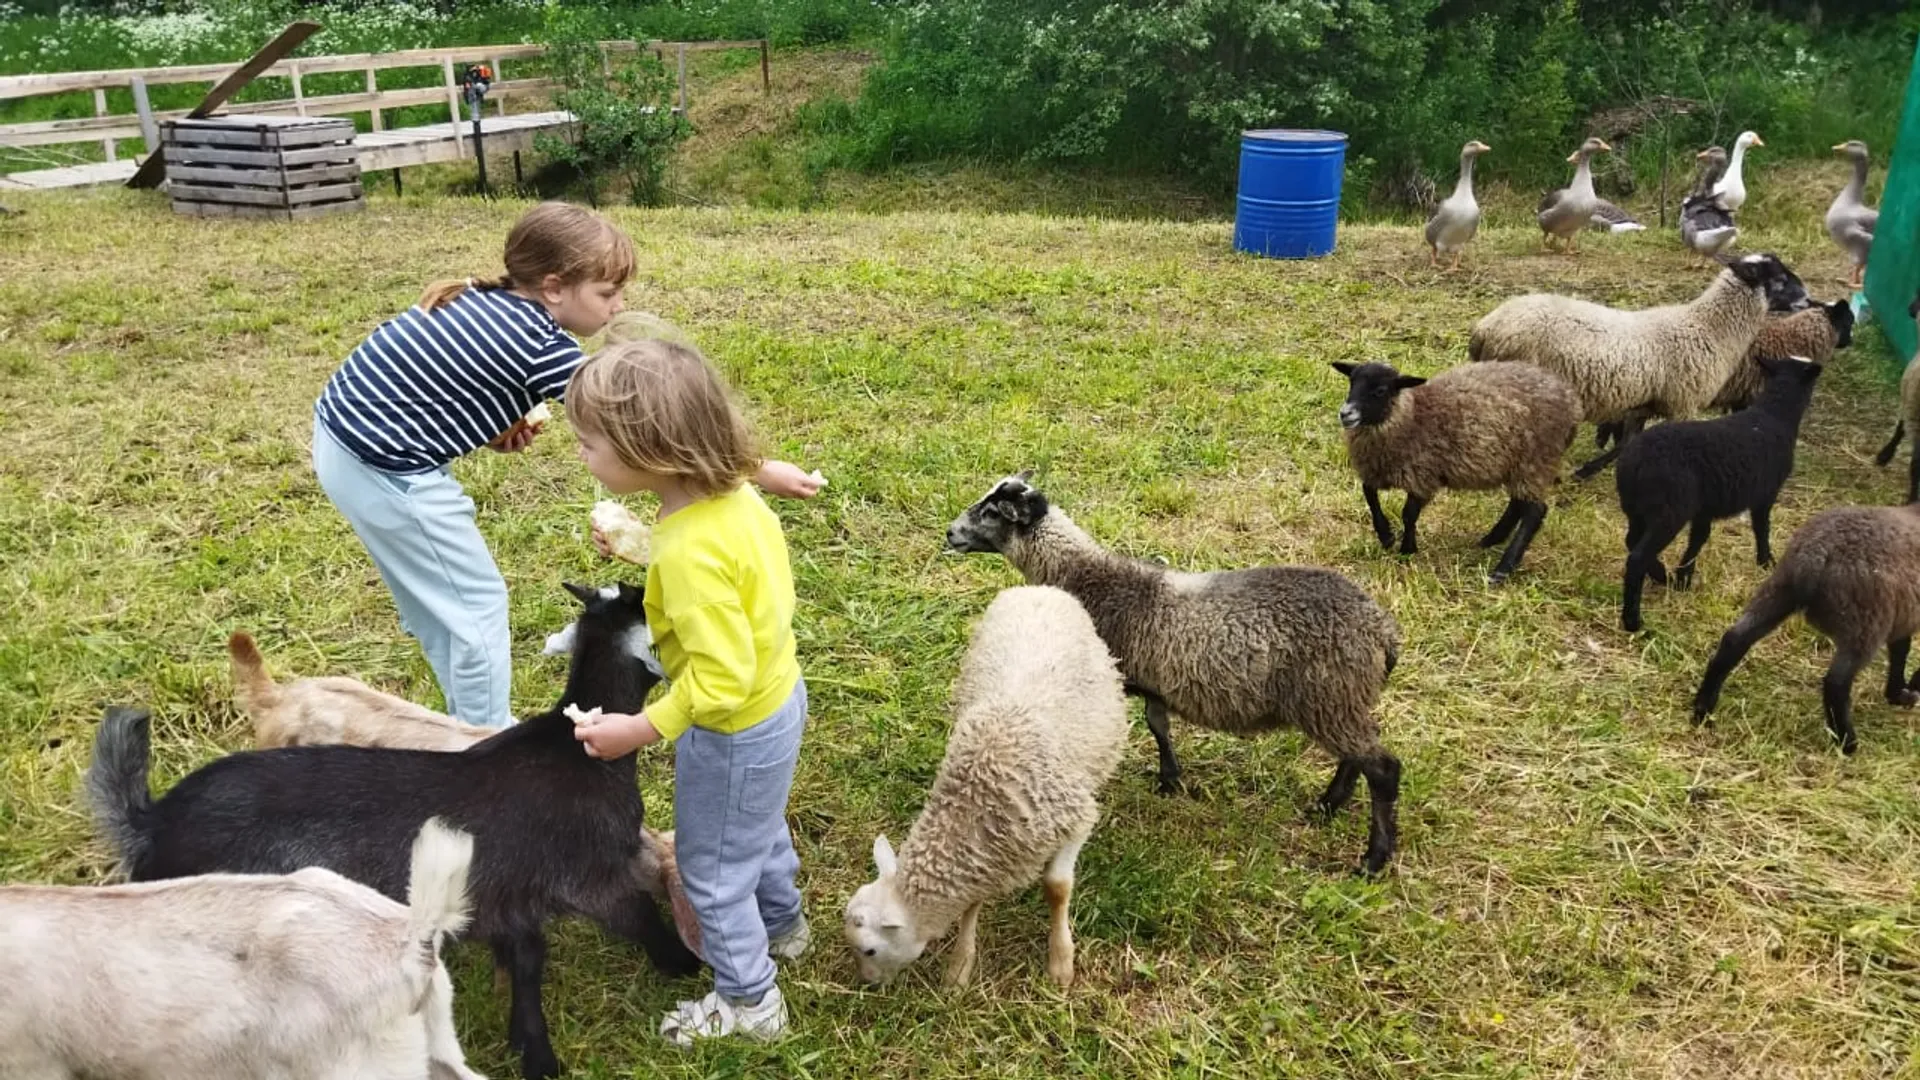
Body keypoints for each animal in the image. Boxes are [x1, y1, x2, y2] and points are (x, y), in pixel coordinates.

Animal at [90, 580, 702, 1076]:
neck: (577, 747)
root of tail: (151, 821)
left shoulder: (509, 897)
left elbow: (527, 966)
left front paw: (533, 1053)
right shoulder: (591, 877)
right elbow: (641, 918)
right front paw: (686, 967)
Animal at [840, 584, 1121, 991]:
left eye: (870, 950)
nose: (867, 984)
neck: (975, 800)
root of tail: (1038, 589)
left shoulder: (1075, 821)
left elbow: (1057, 887)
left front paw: (1060, 961)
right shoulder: (985, 857)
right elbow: (971, 906)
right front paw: (959, 968)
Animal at [1328, 359, 1582, 580]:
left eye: (1381, 390)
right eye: (1352, 382)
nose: (1345, 413)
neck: (1410, 417)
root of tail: (1572, 403)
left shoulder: (1422, 475)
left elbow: (1408, 514)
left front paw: (1407, 549)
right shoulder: (1377, 470)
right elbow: (1369, 494)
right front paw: (1386, 536)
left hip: (1536, 460)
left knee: (1535, 512)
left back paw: (1502, 569)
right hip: (1518, 465)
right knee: (1518, 504)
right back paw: (1490, 539)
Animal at [1612, 357, 1820, 630]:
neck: (1774, 415)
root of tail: (1633, 460)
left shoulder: (1705, 507)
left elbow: (1699, 538)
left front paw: (1683, 577)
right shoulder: (1765, 493)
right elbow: (1762, 528)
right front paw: (1766, 561)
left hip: (1637, 508)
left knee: (1631, 540)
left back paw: (1661, 575)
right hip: (1670, 511)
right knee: (1637, 557)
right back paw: (1633, 619)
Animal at [1689, 503, 1920, 749]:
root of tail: (1817, 552)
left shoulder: (1904, 616)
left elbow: (1900, 651)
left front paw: (1898, 693)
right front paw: (1911, 687)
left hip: (1778, 592)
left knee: (1734, 640)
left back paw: (1703, 708)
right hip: (1865, 623)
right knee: (1836, 681)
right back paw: (1847, 742)